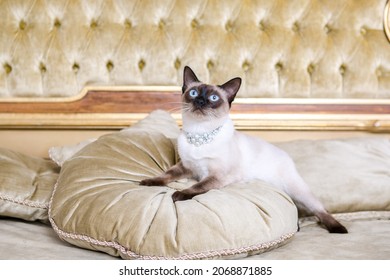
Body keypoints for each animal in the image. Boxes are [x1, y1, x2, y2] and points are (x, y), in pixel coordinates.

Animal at [140, 66, 348, 234]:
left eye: (213, 98)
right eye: (193, 93)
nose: (200, 101)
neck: (200, 134)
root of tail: (285, 155)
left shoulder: (217, 176)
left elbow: (197, 187)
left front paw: (179, 194)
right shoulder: (186, 167)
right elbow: (166, 175)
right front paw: (148, 182)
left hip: (298, 191)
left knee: (319, 210)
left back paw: (338, 229)